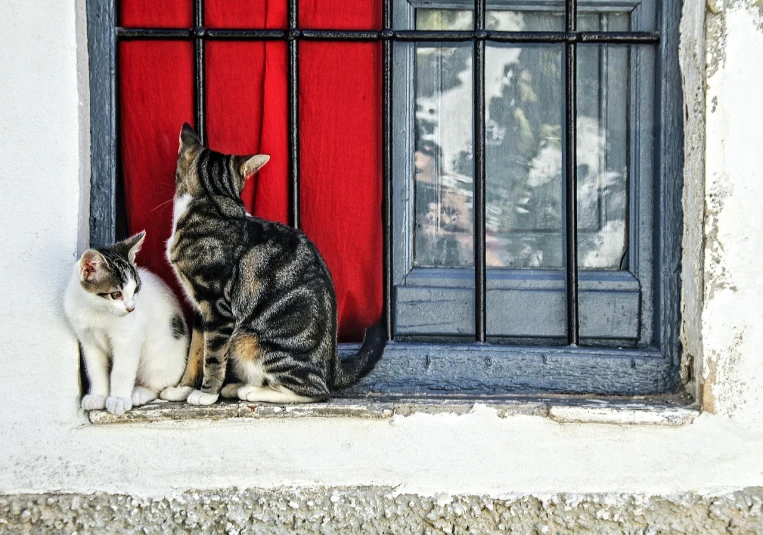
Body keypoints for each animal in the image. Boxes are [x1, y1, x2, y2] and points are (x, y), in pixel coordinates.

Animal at [65, 230, 191, 414]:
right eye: (116, 294)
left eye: (136, 289)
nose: (131, 308)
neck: (96, 312)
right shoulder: (88, 341)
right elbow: (95, 369)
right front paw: (98, 396)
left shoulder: (128, 339)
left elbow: (122, 371)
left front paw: (118, 399)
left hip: (160, 355)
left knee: (158, 385)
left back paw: (139, 393)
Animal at [163, 122, 388, 406]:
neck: (214, 202)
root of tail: (332, 365)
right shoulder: (200, 310)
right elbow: (195, 352)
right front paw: (181, 388)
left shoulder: (217, 308)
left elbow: (212, 356)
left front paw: (207, 394)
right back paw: (238, 386)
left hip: (252, 341)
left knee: (315, 391)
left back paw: (249, 390)